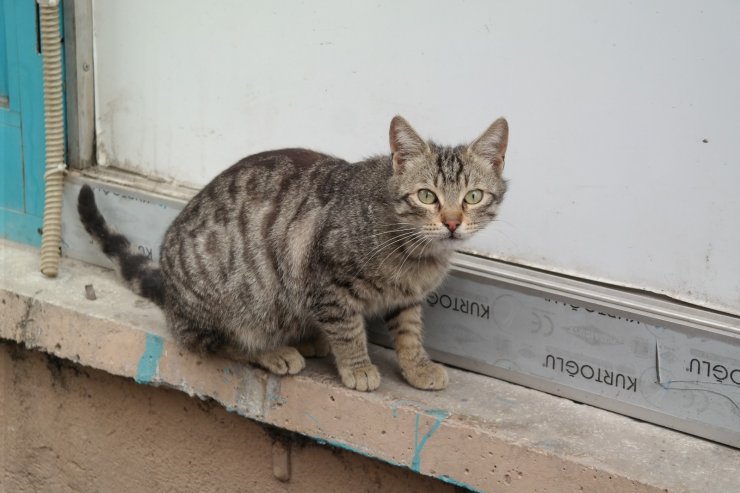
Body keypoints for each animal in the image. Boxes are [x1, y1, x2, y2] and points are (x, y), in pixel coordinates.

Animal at [79, 115, 508, 392]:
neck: (417, 251)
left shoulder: (407, 299)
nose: (452, 222)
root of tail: (170, 291)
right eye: (426, 196)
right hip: (232, 299)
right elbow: (349, 330)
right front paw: (358, 367)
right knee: (216, 342)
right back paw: (274, 352)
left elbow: (409, 333)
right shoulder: (327, 281)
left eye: (473, 197)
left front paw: (417, 367)